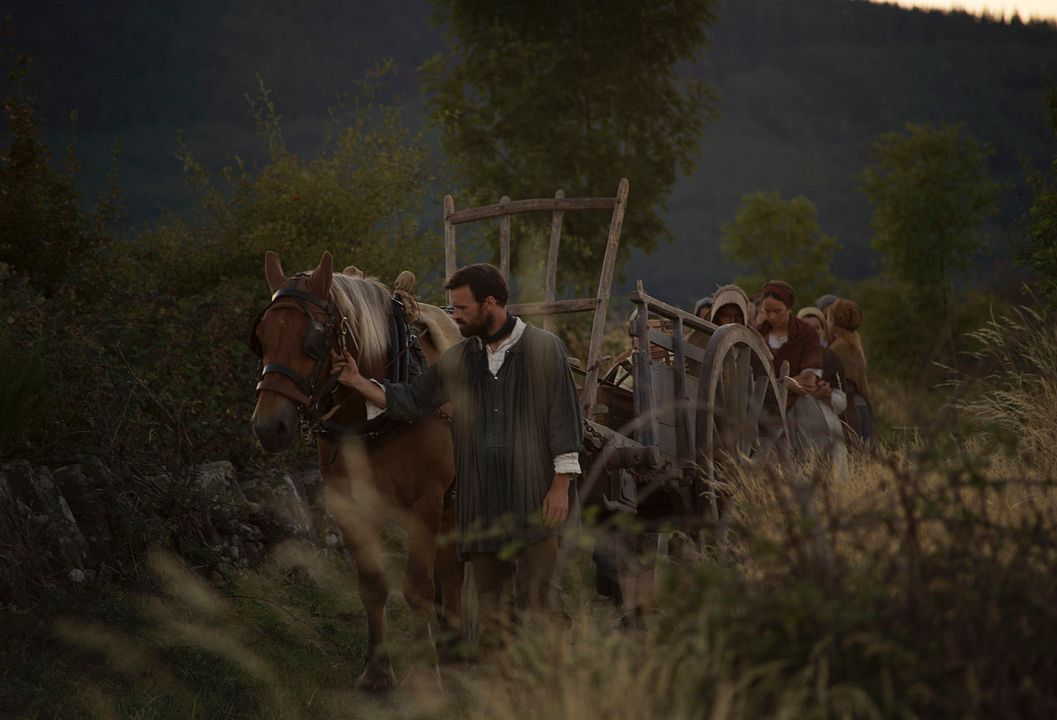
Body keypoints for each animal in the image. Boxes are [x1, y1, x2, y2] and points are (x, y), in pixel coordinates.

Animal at [249, 249, 465, 689]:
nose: (267, 426)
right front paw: (377, 672)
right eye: (260, 336)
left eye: (314, 339)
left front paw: (426, 673)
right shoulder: (349, 504)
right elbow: (373, 585)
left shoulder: (426, 502)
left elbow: (417, 586)